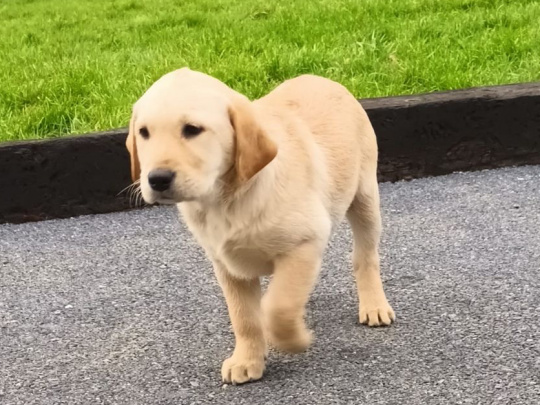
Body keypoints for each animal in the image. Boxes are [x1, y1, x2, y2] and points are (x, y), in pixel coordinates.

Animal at [124, 68, 394, 384]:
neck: (227, 198)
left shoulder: (305, 241)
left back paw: (374, 305)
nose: (157, 179)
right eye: (143, 132)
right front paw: (247, 360)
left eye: (192, 129)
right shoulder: (227, 266)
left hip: (365, 197)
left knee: (365, 256)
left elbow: (279, 307)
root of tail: (320, 77)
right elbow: (244, 317)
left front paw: (294, 340)